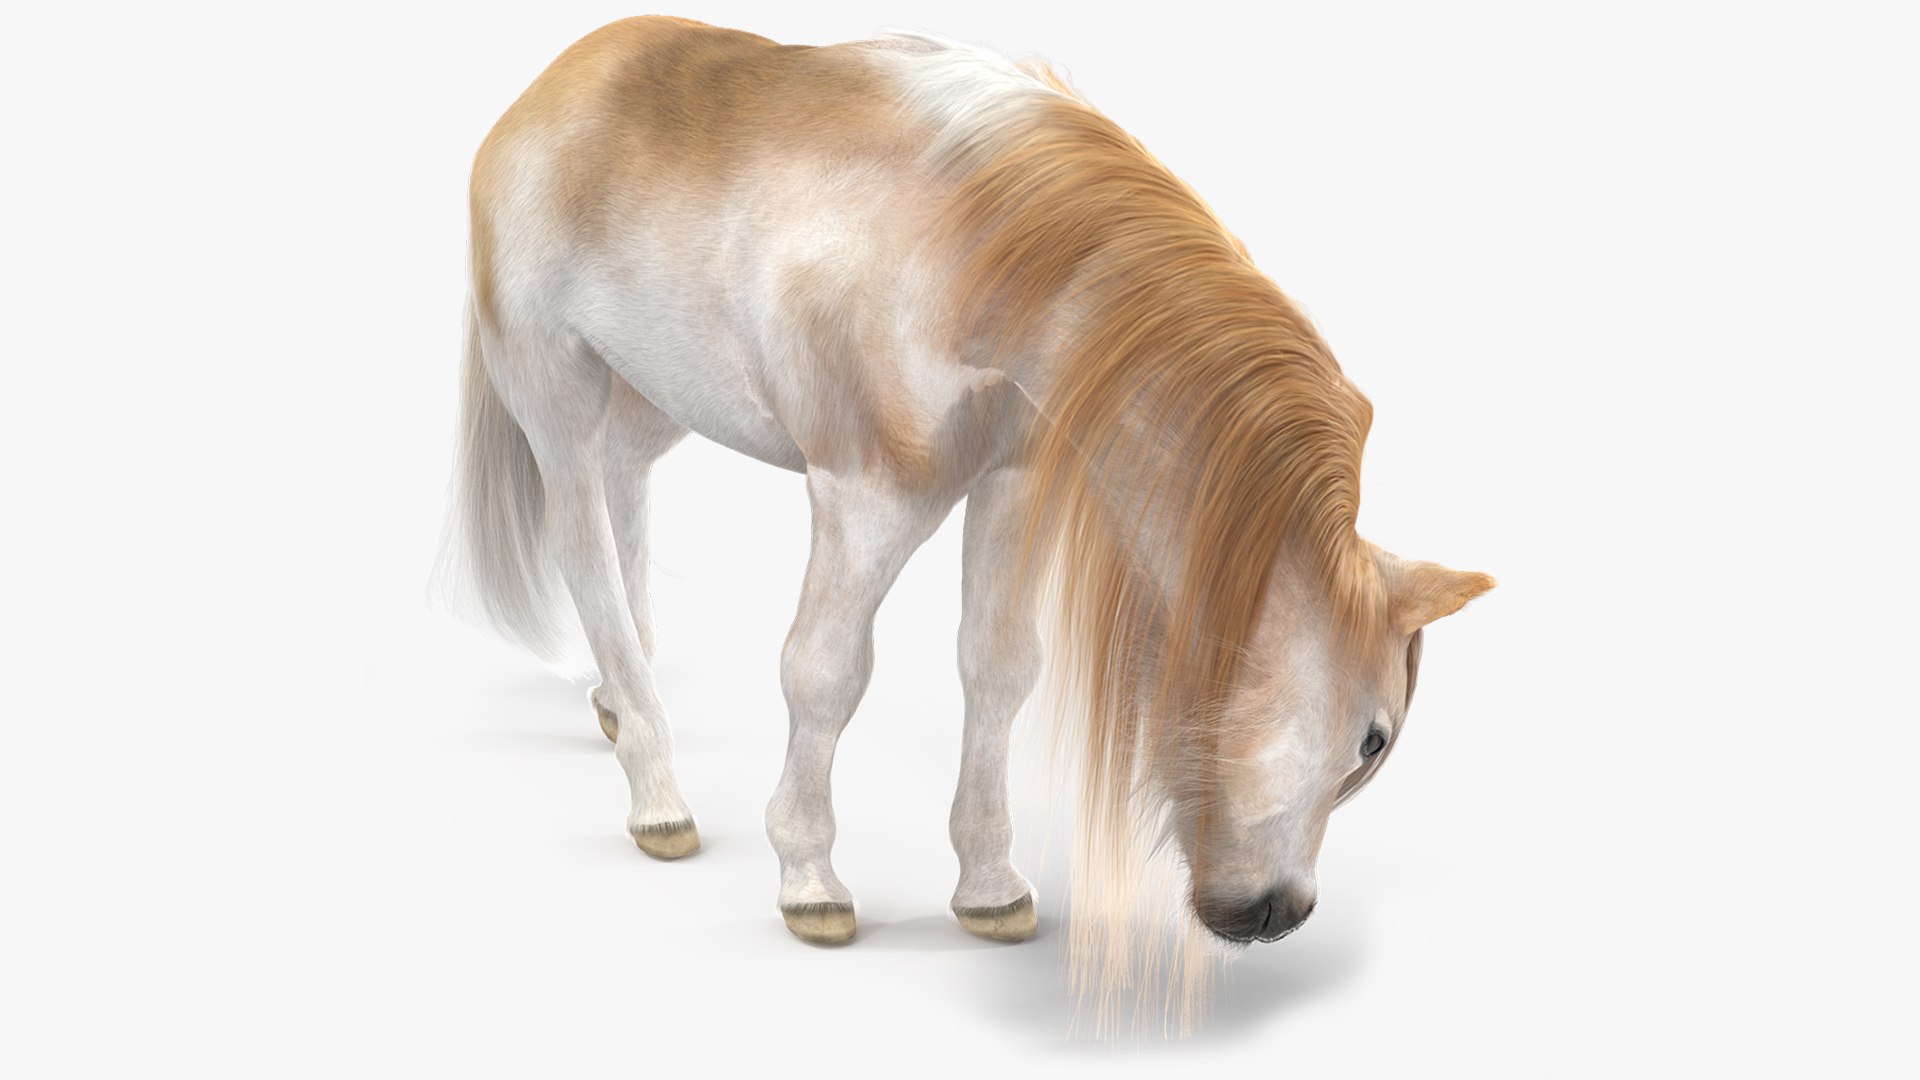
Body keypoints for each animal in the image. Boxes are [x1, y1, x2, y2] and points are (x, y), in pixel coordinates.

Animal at [436, 14, 1493, 1021]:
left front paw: (990, 889)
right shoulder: (865, 497)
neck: (984, 255)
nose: (1273, 913)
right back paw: (657, 796)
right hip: (556, 389)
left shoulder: (1011, 482)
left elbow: (1000, 669)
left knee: (624, 492)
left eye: (1372, 743)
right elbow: (825, 675)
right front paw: (810, 878)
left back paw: (622, 703)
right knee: (582, 545)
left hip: (656, 394)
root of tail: (554, 83)